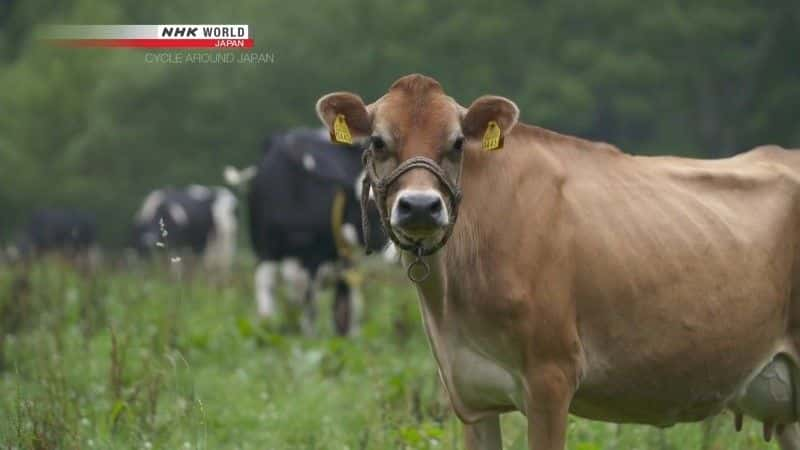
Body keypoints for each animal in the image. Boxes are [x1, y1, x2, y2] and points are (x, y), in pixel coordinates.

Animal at [227, 128, 390, 336]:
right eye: (369, 206)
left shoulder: (315, 258)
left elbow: (311, 302)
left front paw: (309, 336)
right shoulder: (265, 251)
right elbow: (267, 292)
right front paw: (267, 328)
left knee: (348, 298)